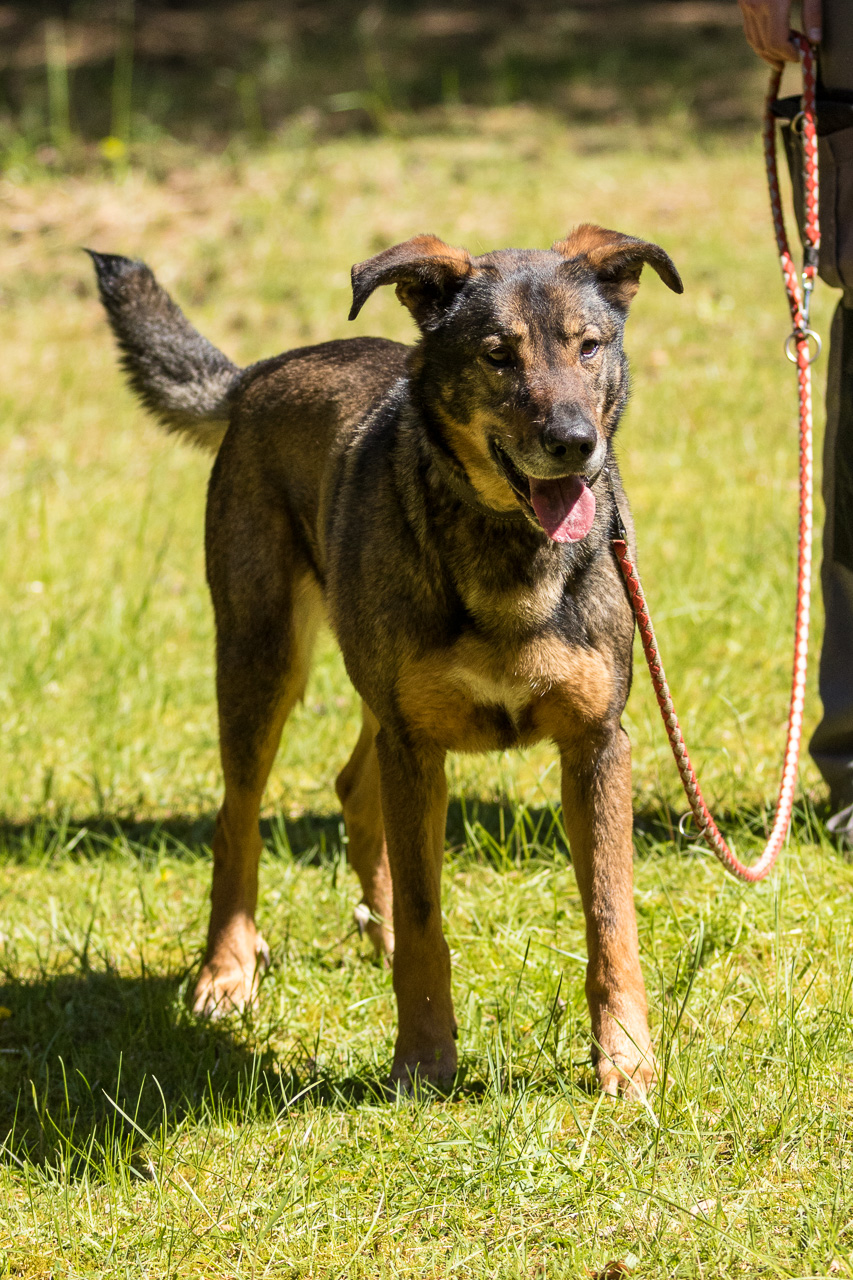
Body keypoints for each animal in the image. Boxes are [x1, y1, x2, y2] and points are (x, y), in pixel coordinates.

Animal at [89, 225, 682, 1096]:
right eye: (498, 356)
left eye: (588, 347)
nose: (576, 444)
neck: (506, 549)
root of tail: (262, 374)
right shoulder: (417, 742)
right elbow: (429, 916)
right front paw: (425, 1060)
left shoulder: (595, 742)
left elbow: (609, 918)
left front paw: (626, 1059)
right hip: (262, 660)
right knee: (238, 821)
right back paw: (226, 973)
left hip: (372, 691)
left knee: (351, 790)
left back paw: (376, 934)